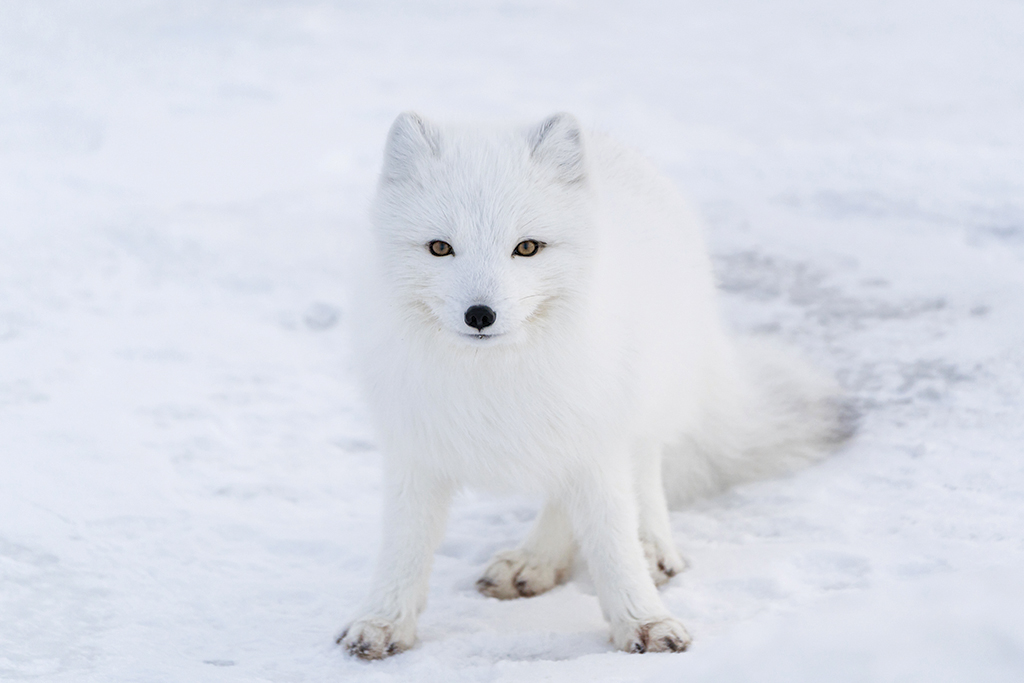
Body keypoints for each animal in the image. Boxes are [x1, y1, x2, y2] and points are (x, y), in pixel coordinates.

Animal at [335, 113, 847, 663]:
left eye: (527, 247)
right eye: (439, 247)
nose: (480, 315)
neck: (493, 376)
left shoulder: (597, 441)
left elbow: (612, 537)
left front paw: (644, 620)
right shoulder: (415, 447)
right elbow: (404, 546)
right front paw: (381, 622)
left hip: (635, 400)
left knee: (643, 470)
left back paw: (647, 548)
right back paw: (534, 562)